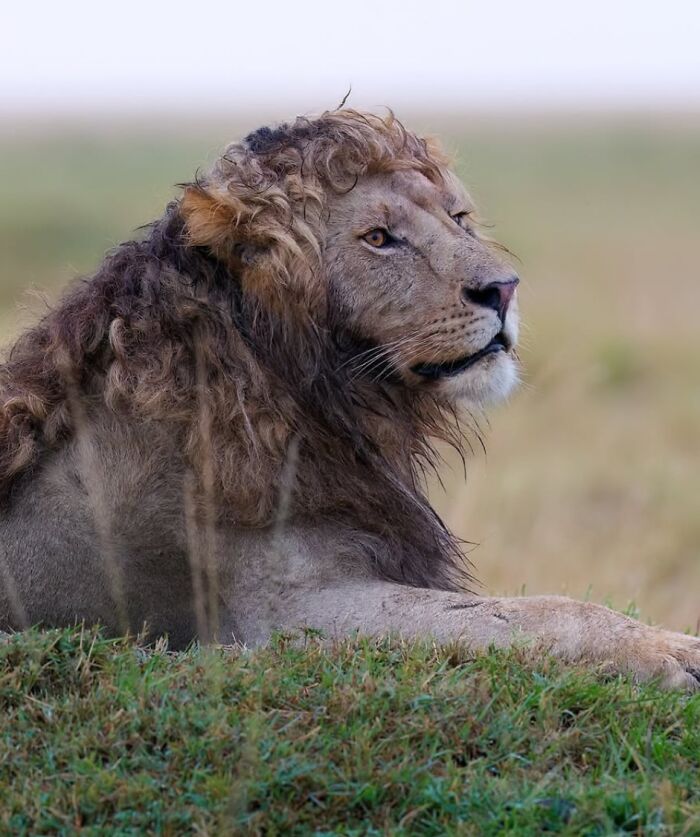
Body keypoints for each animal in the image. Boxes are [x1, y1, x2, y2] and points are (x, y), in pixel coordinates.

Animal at [0, 109, 698, 689]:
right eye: (380, 238)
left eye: (458, 219)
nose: (504, 288)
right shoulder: (288, 616)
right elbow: (539, 612)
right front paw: (666, 653)